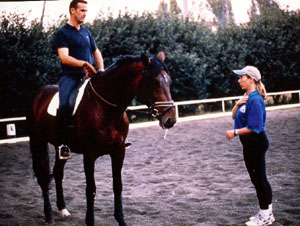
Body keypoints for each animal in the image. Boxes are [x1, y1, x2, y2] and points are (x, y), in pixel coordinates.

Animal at [27, 52, 176, 225]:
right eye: (154, 82)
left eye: (169, 81)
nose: (170, 120)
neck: (106, 109)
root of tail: (38, 93)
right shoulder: (89, 155)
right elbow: (91, 189)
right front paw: (90, 221)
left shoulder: (118, 152)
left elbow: (117, 185)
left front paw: (121, 220)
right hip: (38, 141)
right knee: (43, 176)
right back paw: (49, 215)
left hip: (61, 147)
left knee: (58, 173)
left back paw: (63, 209)